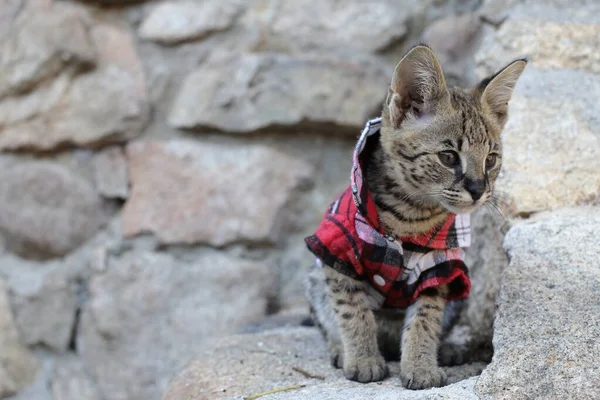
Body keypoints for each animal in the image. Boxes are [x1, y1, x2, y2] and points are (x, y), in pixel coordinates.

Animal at [304, 45, 524, 390]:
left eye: (491, 160)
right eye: (448, 157)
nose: (478, 191)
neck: (410, 214)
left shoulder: (439, 266)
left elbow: (426, 317)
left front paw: (420, 365)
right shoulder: (338, 251)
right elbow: (352, 311)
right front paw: (363, 359)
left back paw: (444, 349)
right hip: (314, 280)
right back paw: (342, 350)